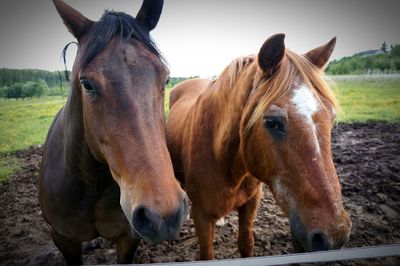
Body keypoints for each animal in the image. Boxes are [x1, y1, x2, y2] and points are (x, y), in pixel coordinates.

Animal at [167, 33, 352, 260]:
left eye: (331, 117)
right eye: (271, 122)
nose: (334, 236)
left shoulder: (251, 203)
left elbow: (246, 244)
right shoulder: (201, 215)